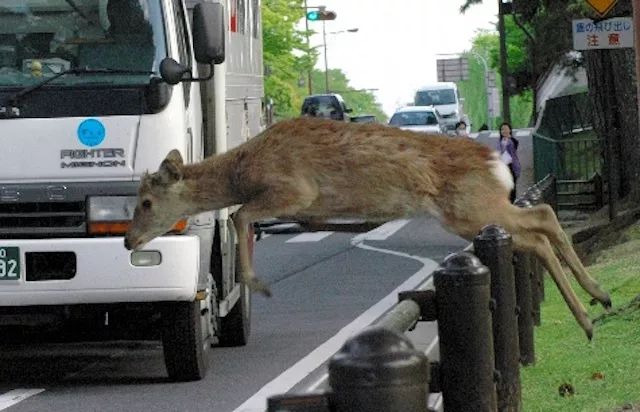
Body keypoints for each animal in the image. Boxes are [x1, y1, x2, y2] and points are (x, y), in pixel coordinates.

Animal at [125, 115, 608, 338]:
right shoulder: (310, 209)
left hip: (469, 208)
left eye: (146, 202)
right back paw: (598, 299)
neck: (245, 167)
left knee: (537, 227)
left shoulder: (296, 188)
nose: (129, 238)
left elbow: (242, 213)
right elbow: (258, 217)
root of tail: (497, 164)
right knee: (542, 221)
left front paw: (257, 283)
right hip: (474, 211)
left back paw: (588, 317)